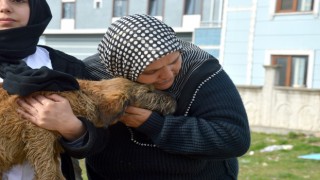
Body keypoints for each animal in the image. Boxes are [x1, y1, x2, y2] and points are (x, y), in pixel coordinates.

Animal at [0, 77, 178, 179]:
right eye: (148, 91)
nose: (174, 99)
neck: (84, 96)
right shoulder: (38, 133)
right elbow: (47, 167)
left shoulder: (53, 144)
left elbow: (56, 168)